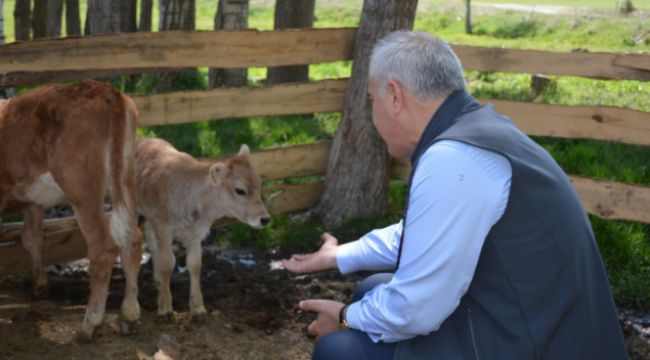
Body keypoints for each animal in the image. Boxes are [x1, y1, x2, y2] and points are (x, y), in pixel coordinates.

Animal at [0, 80, 143, 338]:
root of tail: (103, 89)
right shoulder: (32, 200)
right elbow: (32, 237)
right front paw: (39, 287)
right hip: (125, 176)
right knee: (133, 238)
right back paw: (129, 314)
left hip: (81, 187)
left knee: (102, 248)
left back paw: (90, 323)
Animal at [135, 139, 270, 322]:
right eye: (240, 190)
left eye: (259, 184)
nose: (265, 219)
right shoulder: (163, 228)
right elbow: (167, 264)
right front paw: (165, 307)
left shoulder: (197, 233)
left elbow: (195, 265)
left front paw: (198, 307)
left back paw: (157, 280)